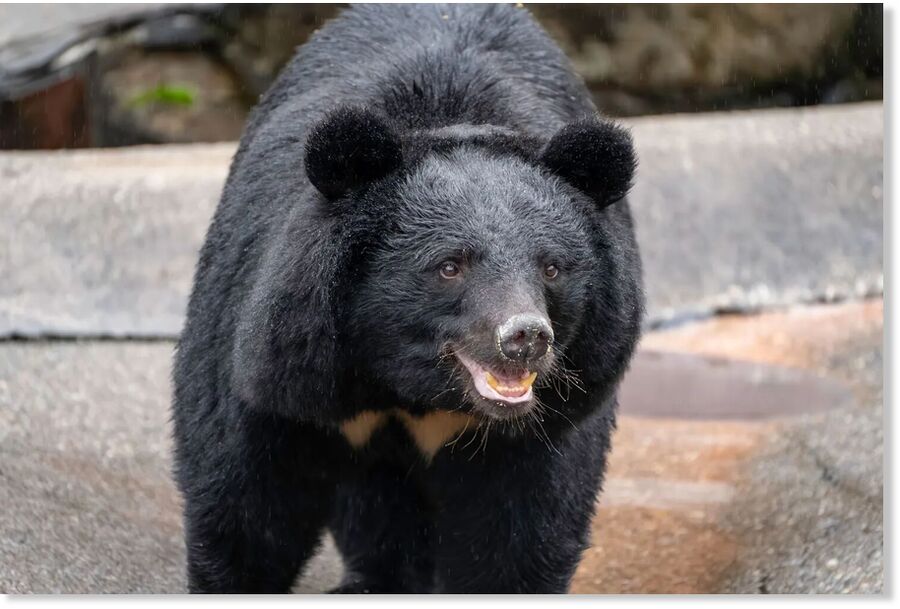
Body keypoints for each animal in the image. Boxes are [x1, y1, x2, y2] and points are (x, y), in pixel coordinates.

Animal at [172, 3, 643, 594]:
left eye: (552, 267)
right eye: (449, 266)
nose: (525, 337)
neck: (411, 385)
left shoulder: (558, 407)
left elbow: (522, 528)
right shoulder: (285, 358)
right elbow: (246, 493)